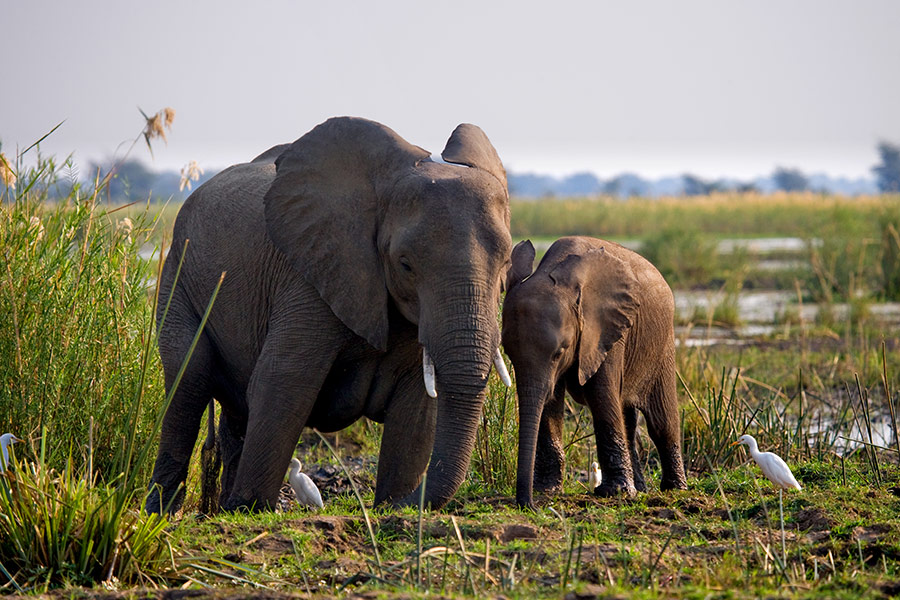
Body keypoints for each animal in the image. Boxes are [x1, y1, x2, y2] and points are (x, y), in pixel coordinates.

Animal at [148, 118, 512, 516]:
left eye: (507, 261)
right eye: (405, 264)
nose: (394, 506)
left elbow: (416, 406)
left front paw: (393, 506)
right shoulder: (308, 275)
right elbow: (283, 380)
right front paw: (250, 508)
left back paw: (220, 507)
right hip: (178, 275)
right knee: (189, 380)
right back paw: (164, 511)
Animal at [502, 237, 684, 508]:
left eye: (559, 352)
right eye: (508, 352)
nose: (529, 504)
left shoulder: (605, 330)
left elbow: (601, 397)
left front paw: (616, 492)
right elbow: (550, 402)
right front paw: (547, 490)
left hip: (662, 344)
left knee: (661, 421)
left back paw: (674, 489)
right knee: (628, 419)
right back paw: (641, 488)